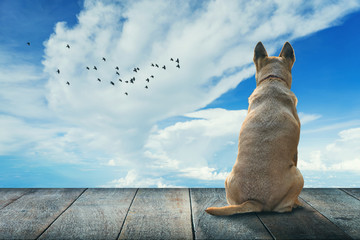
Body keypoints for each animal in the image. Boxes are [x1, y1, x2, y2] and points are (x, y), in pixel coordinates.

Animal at [205, 41, 304, 216]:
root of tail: (253, 200)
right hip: (299, 175)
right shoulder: (295, 151)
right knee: (283, 208)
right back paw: (294, 205)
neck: (272, 79)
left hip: (227, 179)